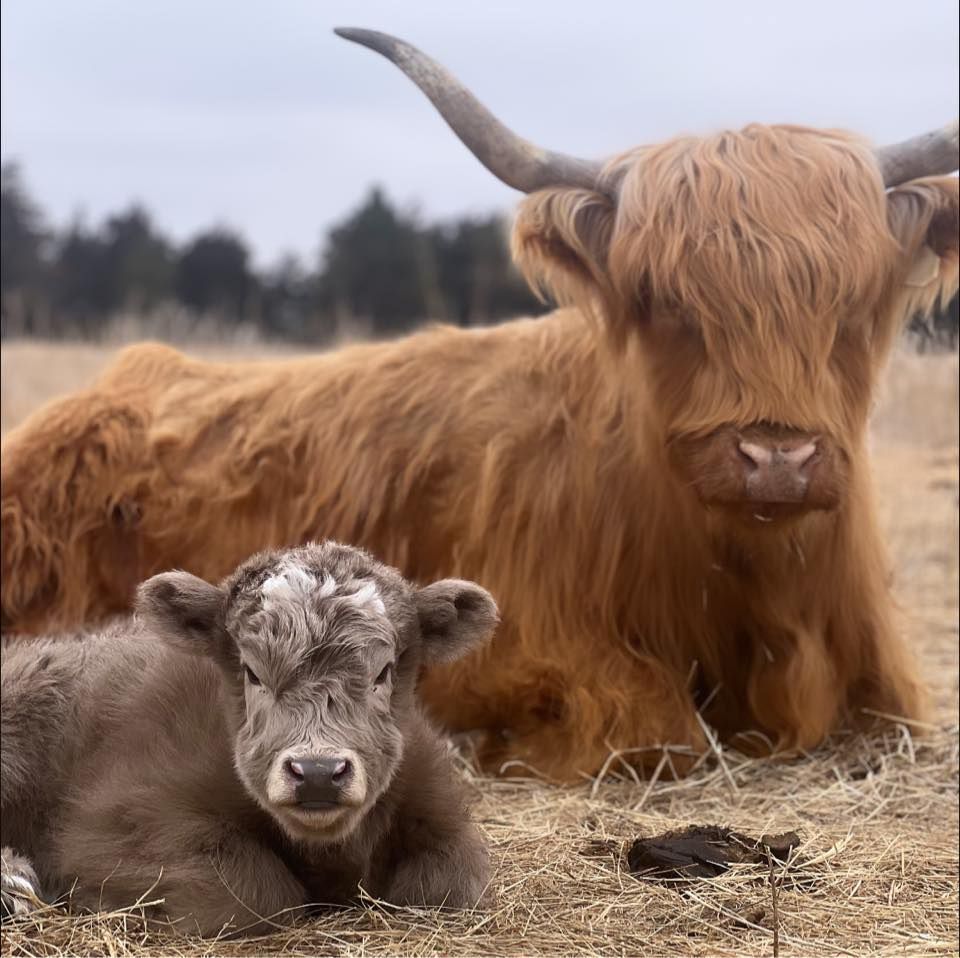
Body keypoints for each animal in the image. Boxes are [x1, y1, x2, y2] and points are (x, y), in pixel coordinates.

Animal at [0, 541, 497, 935]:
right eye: (252, 672)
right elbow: (254, 893)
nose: (317, 773)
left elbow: (449, 885)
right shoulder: (114, 822)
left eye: (383, 672)